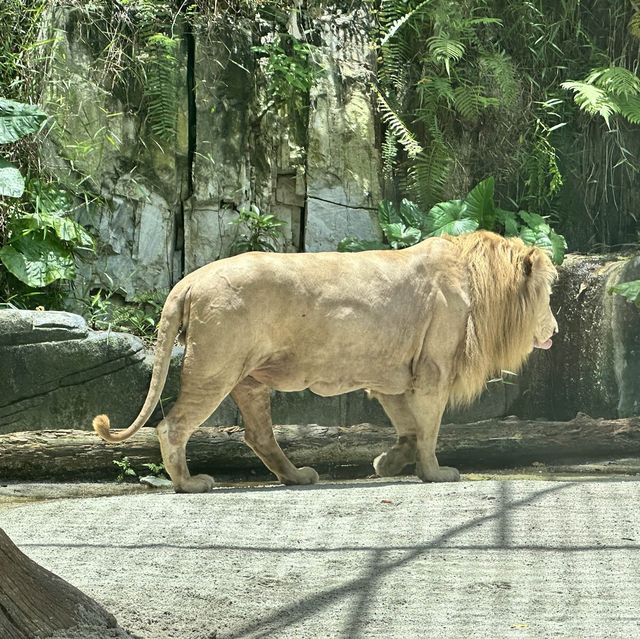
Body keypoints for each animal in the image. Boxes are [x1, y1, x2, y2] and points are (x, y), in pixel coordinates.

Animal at [92, 231, 556, 496]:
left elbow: (408, 428)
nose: (554, 327)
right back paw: (189, 484)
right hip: (216, 368)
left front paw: (387, 464)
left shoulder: (391, 376)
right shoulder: (432, 371)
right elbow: (428, 430)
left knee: (258, 435)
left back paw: (296, 477)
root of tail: (187, 280)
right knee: (172, 426)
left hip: (250, 378)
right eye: (549, 294)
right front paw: (435, 474)